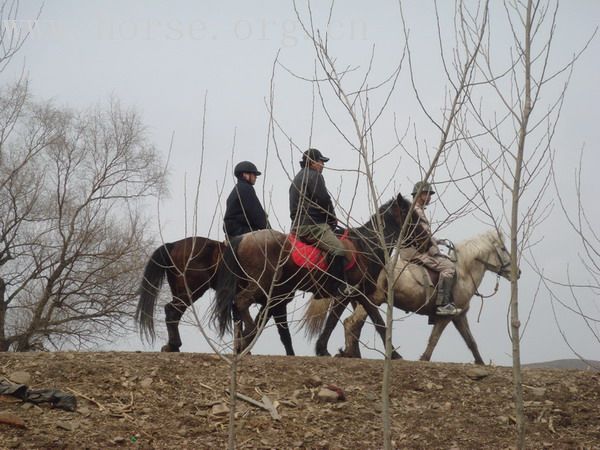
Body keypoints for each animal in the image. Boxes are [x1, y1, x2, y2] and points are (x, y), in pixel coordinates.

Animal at [135, 236, 296, 356]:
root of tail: (173, 245)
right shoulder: (276, 303)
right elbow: (283, 333)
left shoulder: (270, 305)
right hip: (190, 291)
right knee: (172, 311)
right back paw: (174, 345)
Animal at [211, 193, 426, 356]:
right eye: (413, 217)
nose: (426, 242)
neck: (366, 245)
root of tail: (242, 238)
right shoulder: (347, 294)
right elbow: (333, 322)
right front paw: (322, 349)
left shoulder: (361, 294)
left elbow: (378, 322)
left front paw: (394, 355)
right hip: (261, 283)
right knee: (241, 303)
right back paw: (248, 335)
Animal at [302, 230, 516, 364]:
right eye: (503, 249)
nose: (518, 272)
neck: (462, 273)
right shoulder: (446, 317)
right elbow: (434, 339)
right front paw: (424, 359)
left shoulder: (459, 316)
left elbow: (471, 342)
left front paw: (481, 363)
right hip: (370, 300)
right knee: (351, 323)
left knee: (353, 324)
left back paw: (351, 353)